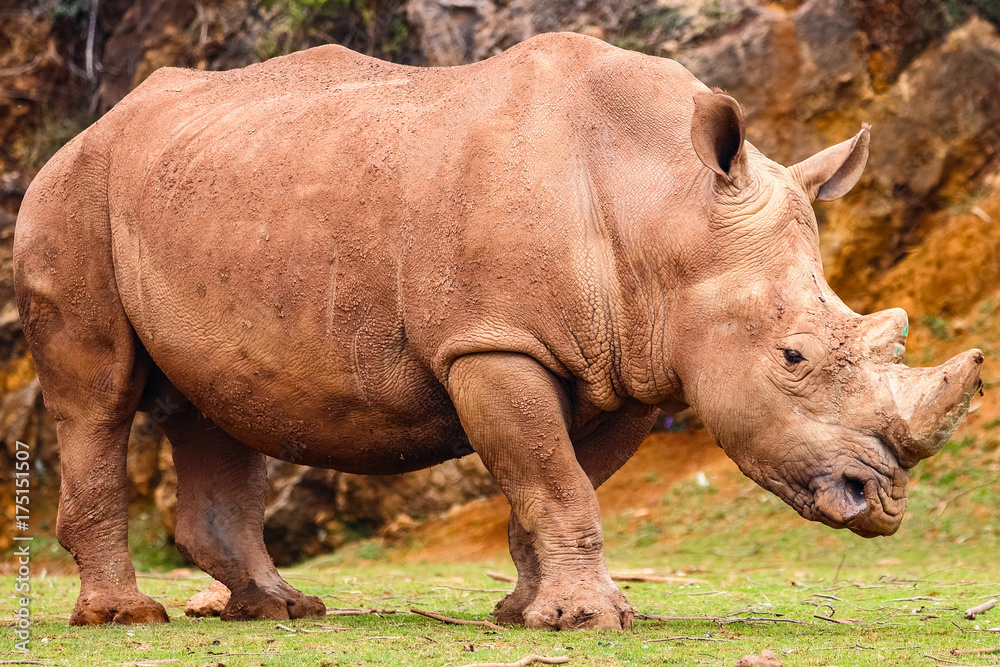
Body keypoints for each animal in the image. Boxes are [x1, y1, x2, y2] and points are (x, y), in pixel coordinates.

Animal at [14, 32, 983, 631]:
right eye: (793, 356)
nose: (881, 502)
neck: (665, 202)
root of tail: (91, 128)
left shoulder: (630, 362)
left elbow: (551, 487)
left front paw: (531, 615)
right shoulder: (492, 340)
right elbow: (555, 480)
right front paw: (591, 620)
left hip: (204, 191)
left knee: (215, 406)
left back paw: (282, 609)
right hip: (73, 191)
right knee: (98, 397)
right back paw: (126, 617)